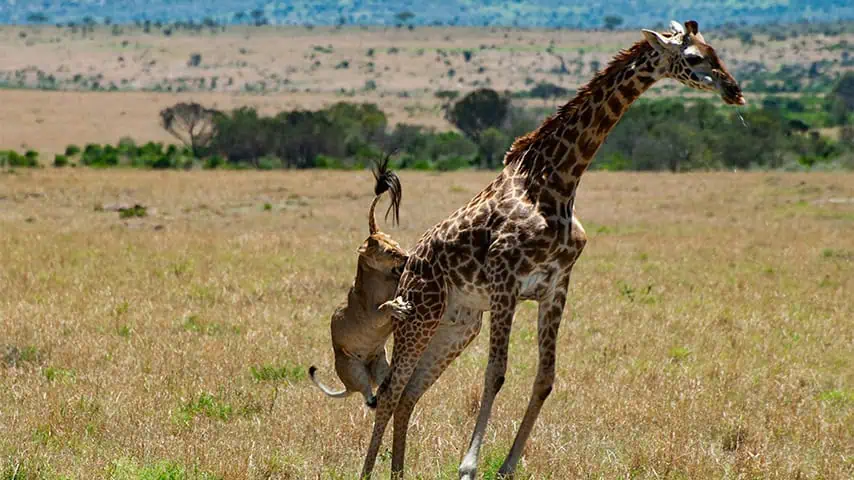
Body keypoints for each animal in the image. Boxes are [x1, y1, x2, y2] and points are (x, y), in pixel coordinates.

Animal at [358, 19, 744, 480]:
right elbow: (496, 373)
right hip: (420, 313)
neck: (557, 182)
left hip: (458, 324)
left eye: (715, 51)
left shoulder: (556, 284)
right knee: (391, 391)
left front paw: (507, 465)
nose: (734, 89)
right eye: (693, 57)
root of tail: (410, 264)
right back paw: (367, 472)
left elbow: (545, 377)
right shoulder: (505, 281)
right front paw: (469, 466)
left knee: (409, 395)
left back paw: (399, 472)